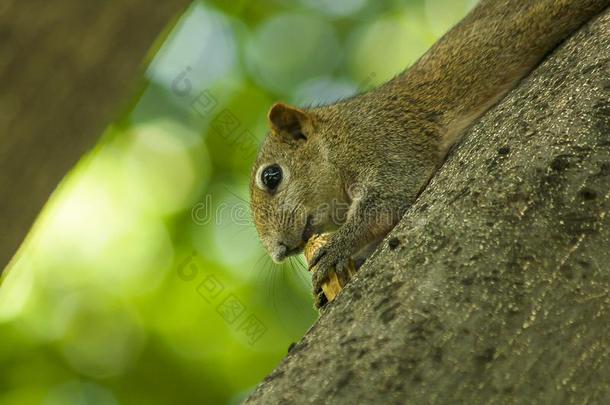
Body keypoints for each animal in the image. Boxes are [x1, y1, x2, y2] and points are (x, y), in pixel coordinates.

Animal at [248, 0, 608, 306]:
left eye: (271, 176)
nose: (278, 252)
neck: (337, 140)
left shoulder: (386, 144)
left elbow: (385, 204)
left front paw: (337, 247)